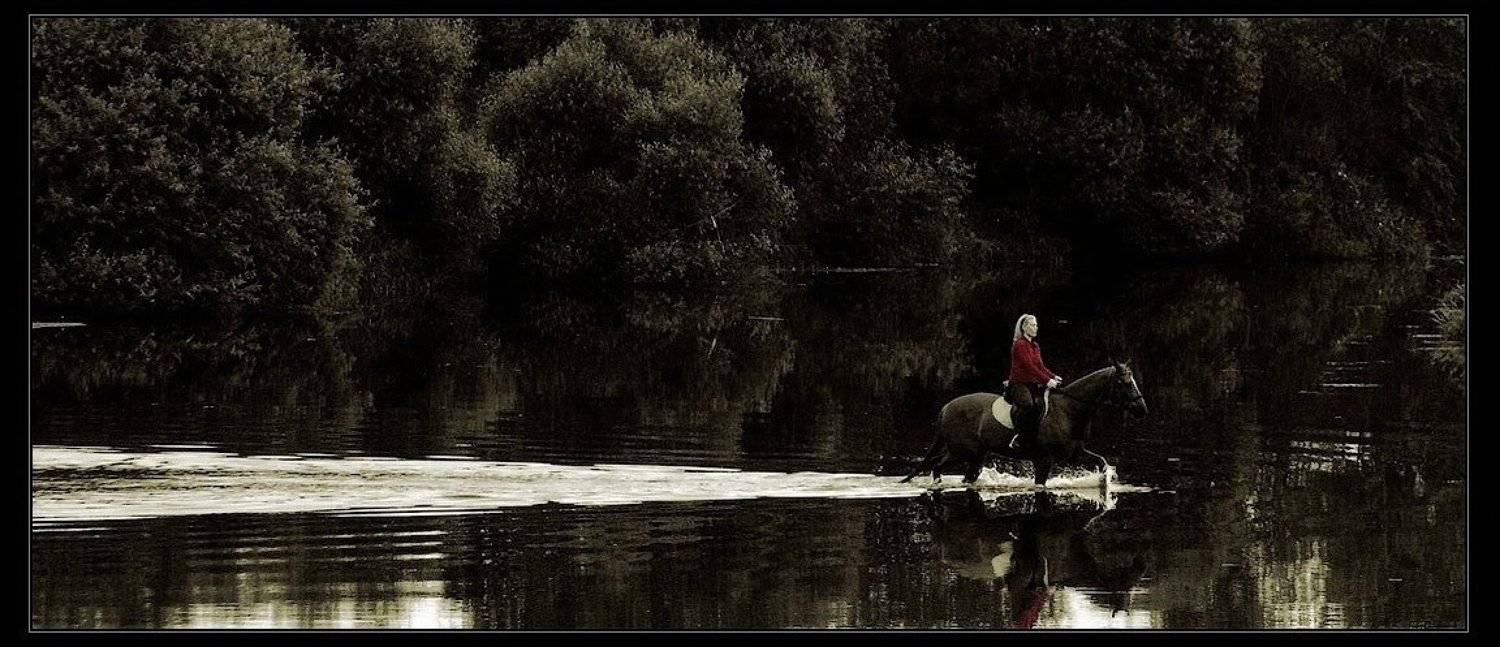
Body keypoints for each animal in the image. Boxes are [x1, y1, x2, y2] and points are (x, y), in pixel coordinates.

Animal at [901, 362, 1149, 487]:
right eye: (1125, 383)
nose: (1142, 409)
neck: (1070, 410)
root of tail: (946, 408)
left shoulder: (1075, 453)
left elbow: (1102, 462)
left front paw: (1105, 485)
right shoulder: (1044, 460)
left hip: (975, 456)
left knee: (965, 476)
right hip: (960, 452)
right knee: (936, 467)